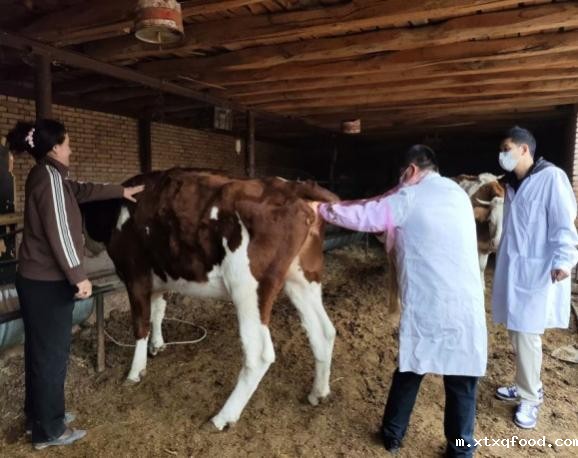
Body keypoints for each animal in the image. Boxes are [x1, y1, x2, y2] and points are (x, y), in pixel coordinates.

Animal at [81, 168, 339, 431]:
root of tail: (293, 187)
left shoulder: (135, 275)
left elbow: (140, 324)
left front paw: (135, 372)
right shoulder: (160, 277)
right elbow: (158, 310)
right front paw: (158, 345)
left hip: (247, 288)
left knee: (259, 353)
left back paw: (222, 417)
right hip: (302, 278)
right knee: (323, 331)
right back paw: (318, 393)